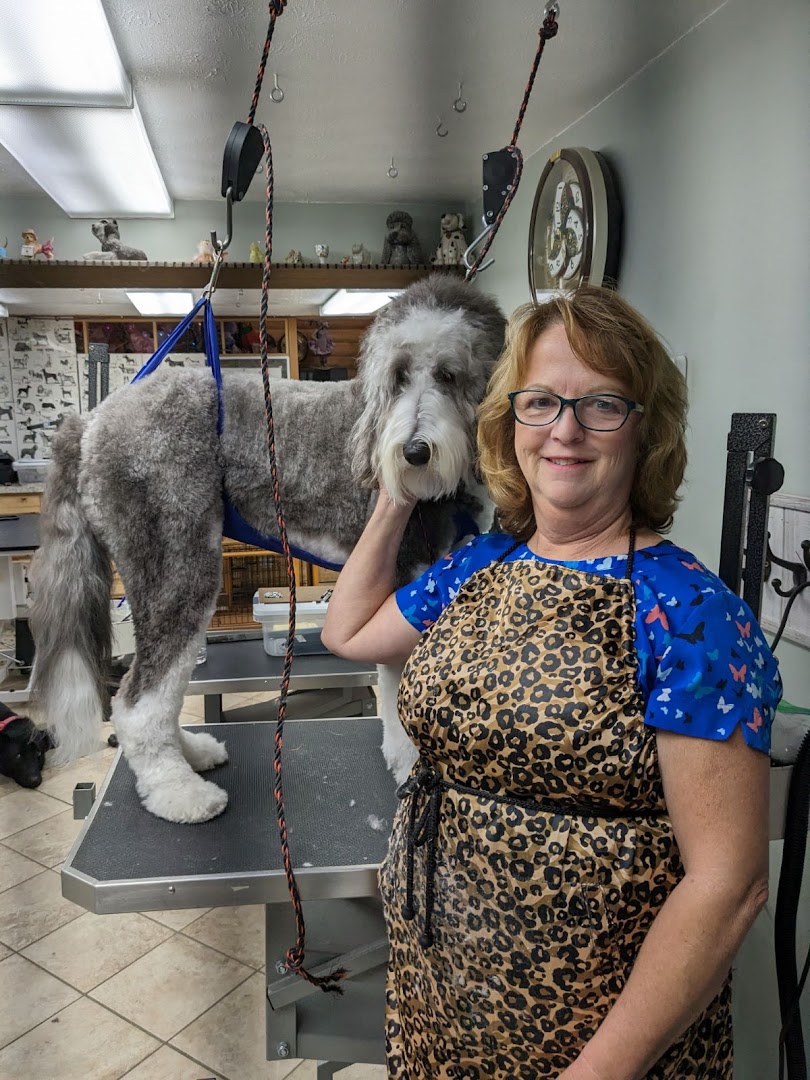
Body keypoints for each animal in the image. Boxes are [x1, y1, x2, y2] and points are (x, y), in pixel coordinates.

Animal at [28, 274, 507, 820]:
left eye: (449, 375)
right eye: (400, 376)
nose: (413, 452)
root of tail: (91, 421)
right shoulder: (403, 577)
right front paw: (409, 767)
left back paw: (192, 752)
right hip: (176, 563)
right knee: (137, 700)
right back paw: (178, 792)